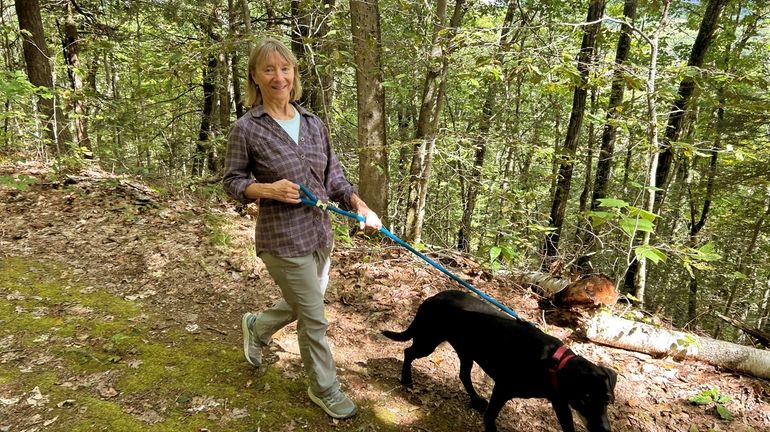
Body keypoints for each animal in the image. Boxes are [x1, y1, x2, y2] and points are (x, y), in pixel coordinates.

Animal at [380, 290, 616, 432]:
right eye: (585, 398)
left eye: (607, 400)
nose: (605, 430)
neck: (552, 363)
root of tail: (431, 298)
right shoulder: (503, 389)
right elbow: (491, 416)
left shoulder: (560, 401)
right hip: (428, 341)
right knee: (408, 351)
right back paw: (406, 379)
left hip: (466, 351)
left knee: (463, 375)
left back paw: (476, 400)